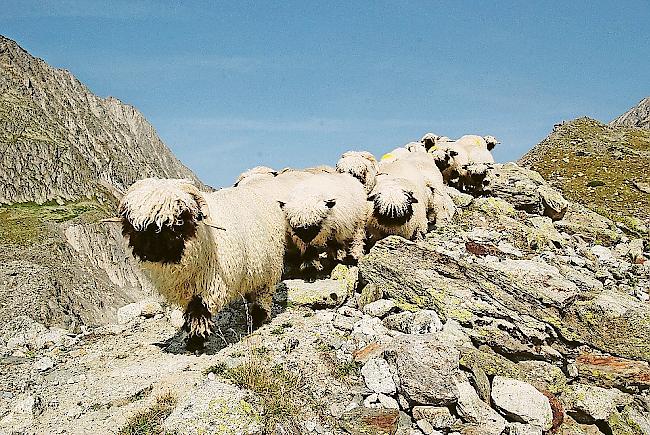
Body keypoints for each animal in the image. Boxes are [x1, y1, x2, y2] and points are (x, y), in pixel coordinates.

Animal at [117, 177, 284, 350]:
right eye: (133, 223)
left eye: (179, 218)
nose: (150, 250)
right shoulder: (186, 290)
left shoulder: (209, 285)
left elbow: (198, 312)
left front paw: (196, 342)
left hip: (269, 266)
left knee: (263, 293)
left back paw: (259, 318)